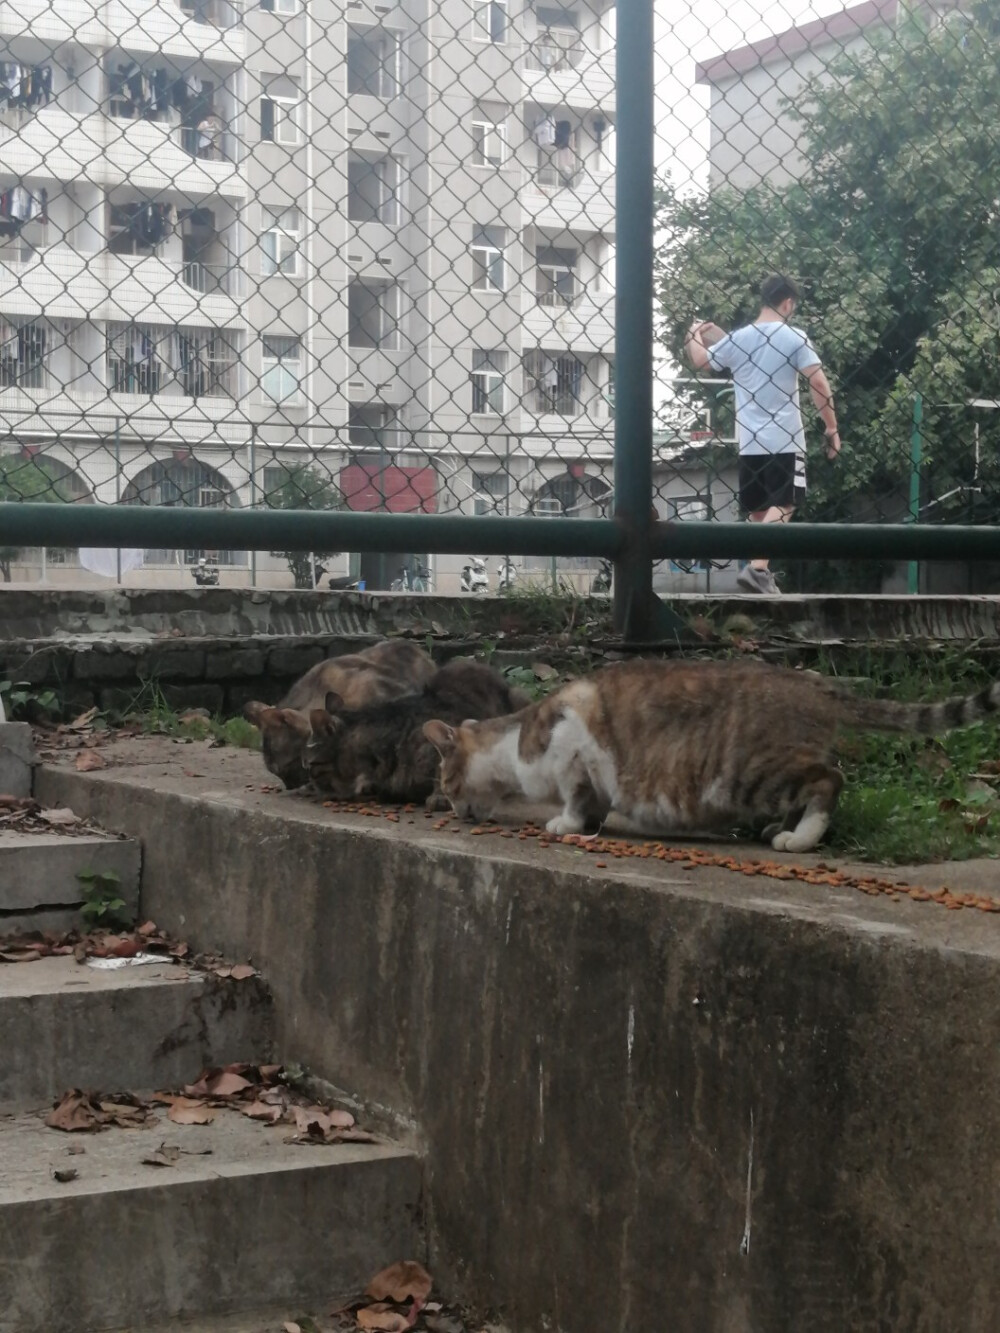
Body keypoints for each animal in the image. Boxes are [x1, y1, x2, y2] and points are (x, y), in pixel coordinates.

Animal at [424, 658, 1000, 853]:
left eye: (448, 786)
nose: (451, 809)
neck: (517, 741)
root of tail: (814, 685)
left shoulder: (572, 753)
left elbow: (576, 798)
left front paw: (564, 823)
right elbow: (595, 805)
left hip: (751, 772)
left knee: (828, 780)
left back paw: (800, 838)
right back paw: (780, 829)